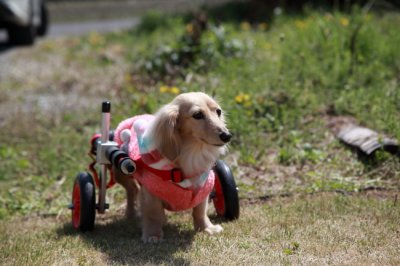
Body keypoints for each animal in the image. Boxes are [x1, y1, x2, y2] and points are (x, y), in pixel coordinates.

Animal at [112, 92, 231, 243]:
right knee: (131, 189)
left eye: (218, 111)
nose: (227, 135)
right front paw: (153, 234)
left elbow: (200, 210)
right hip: (121, 170)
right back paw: (131, 214)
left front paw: (207, 228)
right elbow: (153, 213)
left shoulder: (203, 187)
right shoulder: (151, 190)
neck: (192, 155)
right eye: (197, 115)